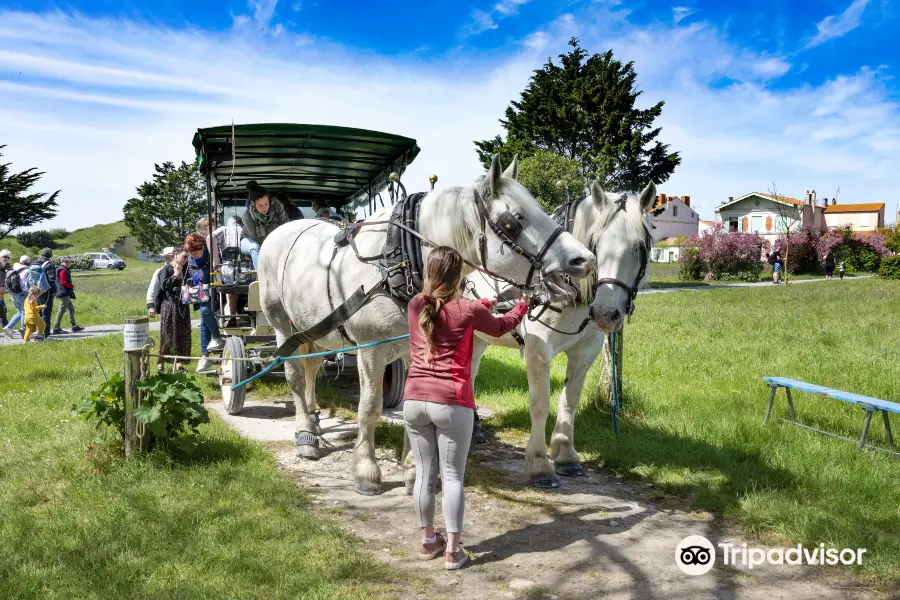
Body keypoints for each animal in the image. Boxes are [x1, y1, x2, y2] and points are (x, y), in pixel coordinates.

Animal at [258, 156, 596, 496]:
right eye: (512, 222)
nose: (585, 259)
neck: (398, 262)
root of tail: (283, 230)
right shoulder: (370, 350)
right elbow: (369, 407)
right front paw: (366, 471)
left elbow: (414, 403)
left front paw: (413, 472)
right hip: (282, 325)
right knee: (294, 376)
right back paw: (305, 435)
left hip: (312, 328)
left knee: (311, 366)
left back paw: (314, 420)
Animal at [468, 178, 656, 488]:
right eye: (597, 244)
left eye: (641, 247)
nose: (606, 313)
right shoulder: (538, 349)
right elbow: (540, 404)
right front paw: (540, 464)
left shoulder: (586, 351)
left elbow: (570, 402)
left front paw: (566, 455)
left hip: (479, 333)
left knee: (469, 372)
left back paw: (473, 426)